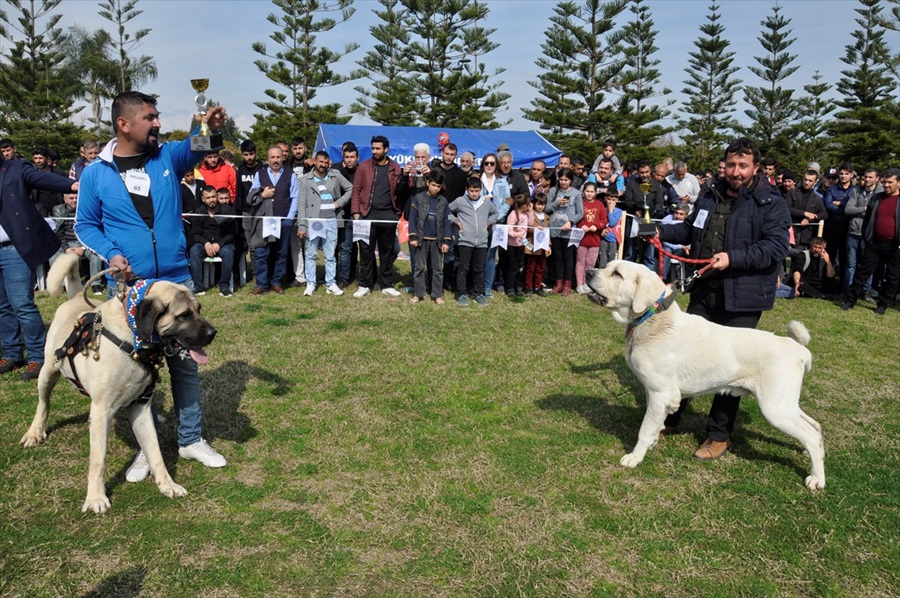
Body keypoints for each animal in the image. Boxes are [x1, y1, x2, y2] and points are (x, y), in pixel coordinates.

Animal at [588, 262, 828, 492]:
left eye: (617, 274)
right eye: (607, 266)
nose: (589, 272)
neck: (653, 319)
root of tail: (798, 349)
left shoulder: (659, 393)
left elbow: (645, 429)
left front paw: (635, 457)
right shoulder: (655, 394)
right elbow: (655, 423)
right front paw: (654, 441)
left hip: (775, 410)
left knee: (811, 435)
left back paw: (817, 479)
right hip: (786, 404)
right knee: (815, 427)